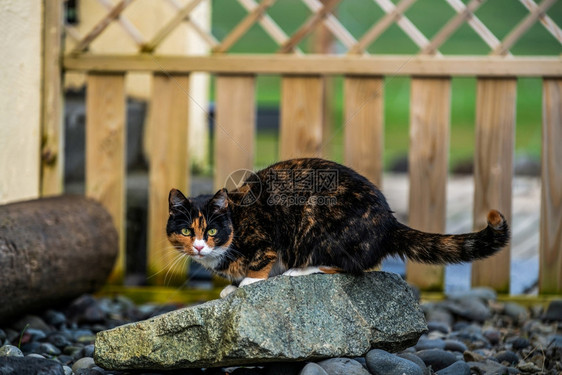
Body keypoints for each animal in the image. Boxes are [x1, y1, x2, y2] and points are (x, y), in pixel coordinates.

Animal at [167, 157, 508, 298]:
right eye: (186, 232)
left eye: (212, 231)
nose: (199, 246)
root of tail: (388, 221)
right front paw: (232, 286)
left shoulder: (265, 235)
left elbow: (263, 259)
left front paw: (248, 281)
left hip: (317, 217)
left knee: (352, 266)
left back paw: (301, 270)